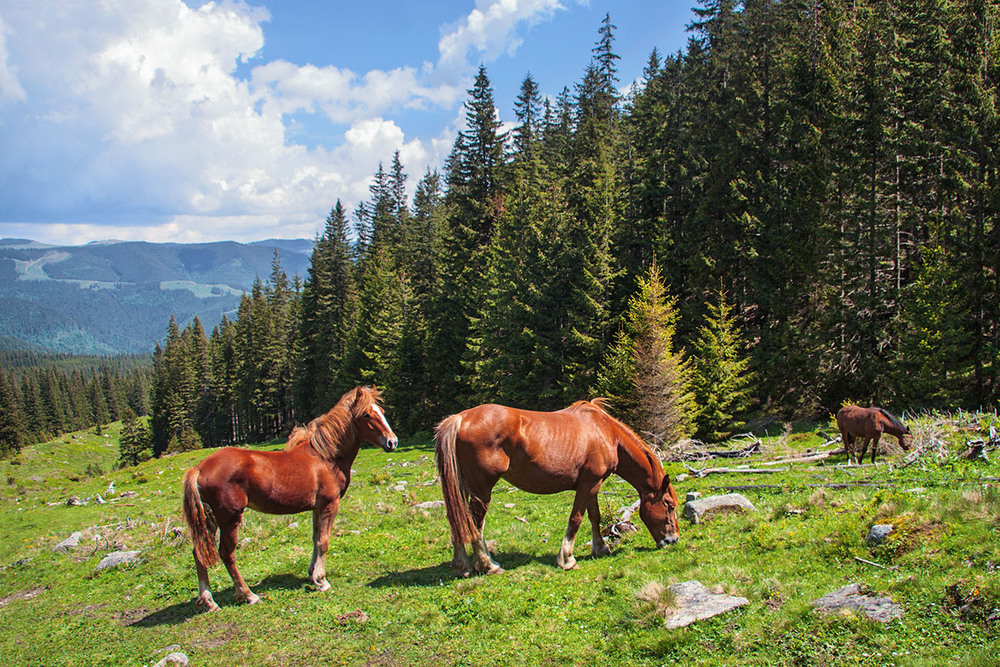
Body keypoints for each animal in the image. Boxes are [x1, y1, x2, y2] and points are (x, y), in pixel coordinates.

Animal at [182, 386, 396, 612]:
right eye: (366, 414)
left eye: (381, 411)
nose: (392, 442)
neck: (326, 457)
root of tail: (199, 469)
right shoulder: (330, 504)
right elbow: (324, 541)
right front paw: (322, 581)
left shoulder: (317, 508)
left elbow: (315, 539)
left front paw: (313, 576)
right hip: (229, 519)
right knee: (226, 554)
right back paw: (248, 595)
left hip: (209, 519)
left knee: (199, 553)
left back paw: (209, 601)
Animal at [436, 400, 680, 576]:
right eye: (669, 505)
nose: (673, 540)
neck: (605, 432)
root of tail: (460, 419)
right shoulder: (589, 484)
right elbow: (576, 519)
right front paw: (567, 559)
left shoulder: (593, 484)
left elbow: (595, 517)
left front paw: (600, 548)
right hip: (482, 489)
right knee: (475, 523)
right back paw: (488, 565)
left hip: (463, 487)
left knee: (457, 519)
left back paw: (462, 566)